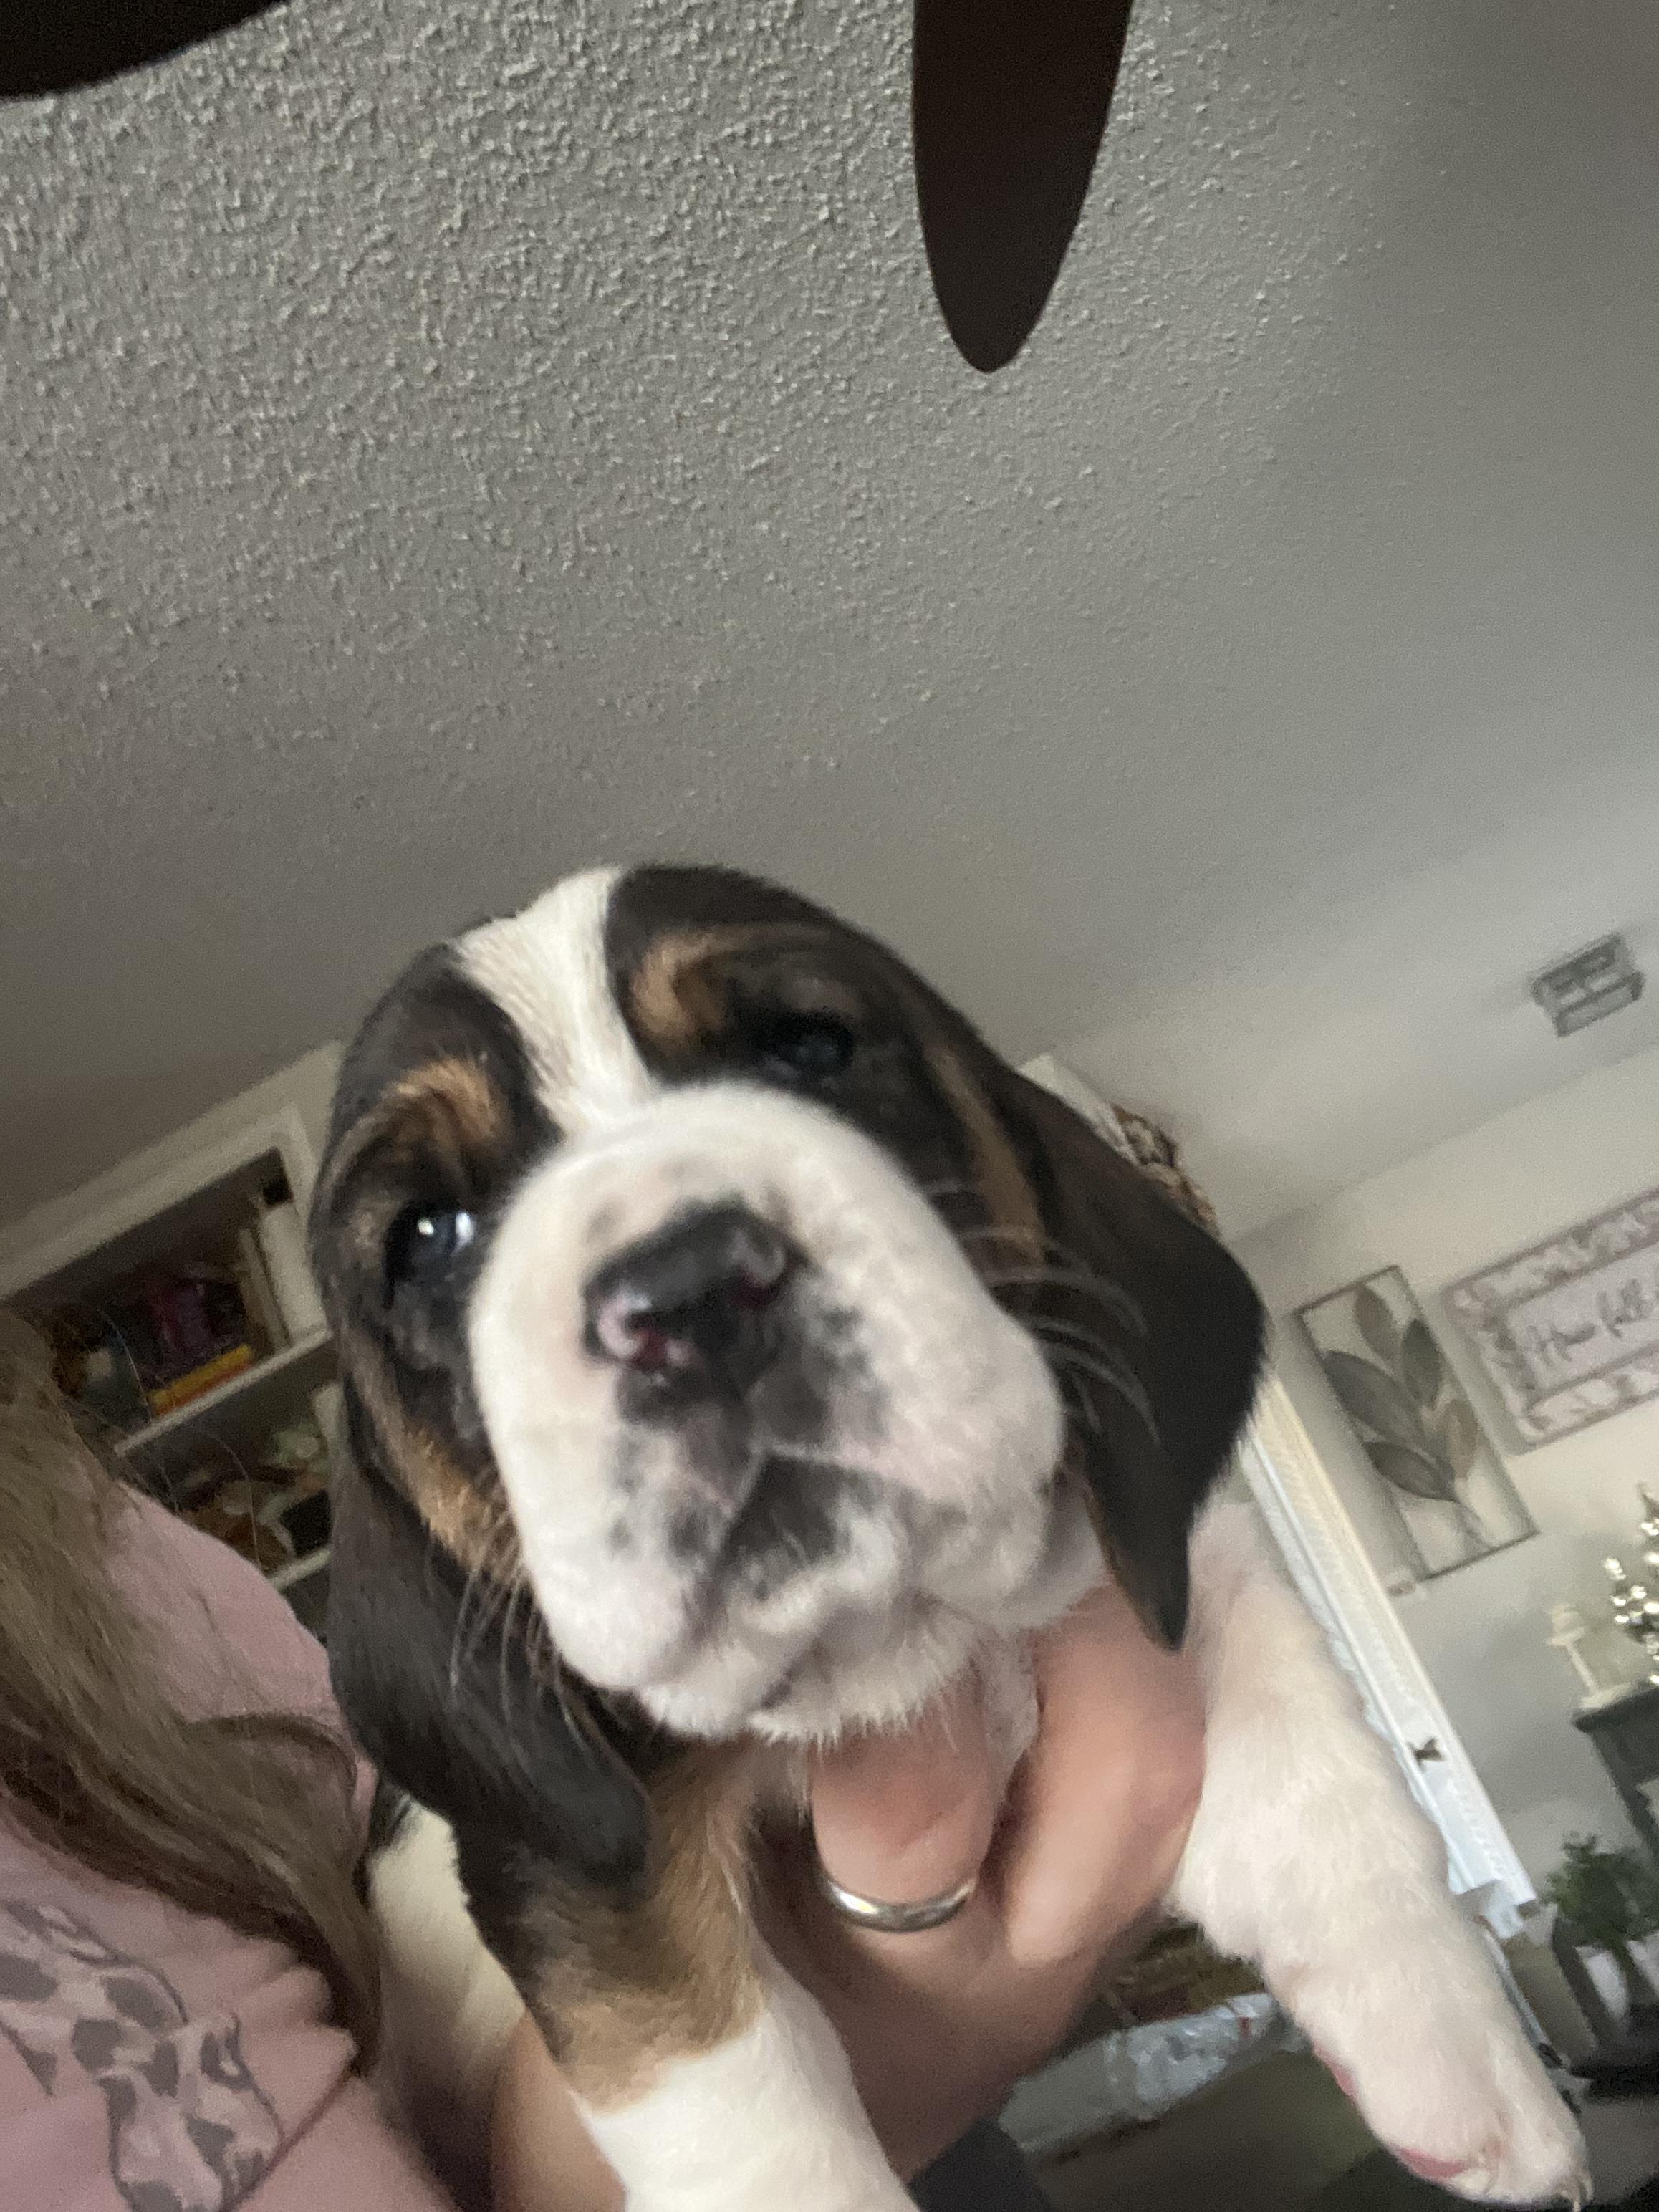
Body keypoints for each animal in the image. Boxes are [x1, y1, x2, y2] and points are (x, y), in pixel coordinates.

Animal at [309, 863, 1588, 2211]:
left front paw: (1448, 2049)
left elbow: (1317, 1762)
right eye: (428, 1236)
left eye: (808, 1044)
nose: (686, 1291)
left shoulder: (1163, 1552)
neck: (894, 1637)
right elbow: (743, 2107)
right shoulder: (592, 1865)